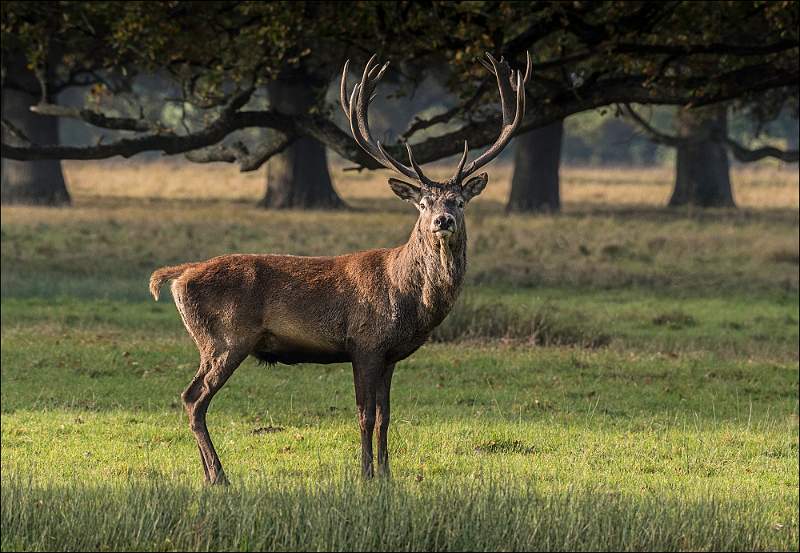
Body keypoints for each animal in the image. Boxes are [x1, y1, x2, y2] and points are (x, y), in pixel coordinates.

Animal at [149, 52, 530, 485]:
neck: (408, 299)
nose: (442, 220)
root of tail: (176, 277)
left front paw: (387, 475)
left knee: (191, 398)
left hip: (217, 342)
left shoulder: (390, 354)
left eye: (460, 201)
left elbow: (385, 416)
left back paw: (209, 474)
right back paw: (220, 475)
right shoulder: (364, 342)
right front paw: (365, 475)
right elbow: (365, 415)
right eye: (422, 203)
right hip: (224, 339)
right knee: (193, 398)